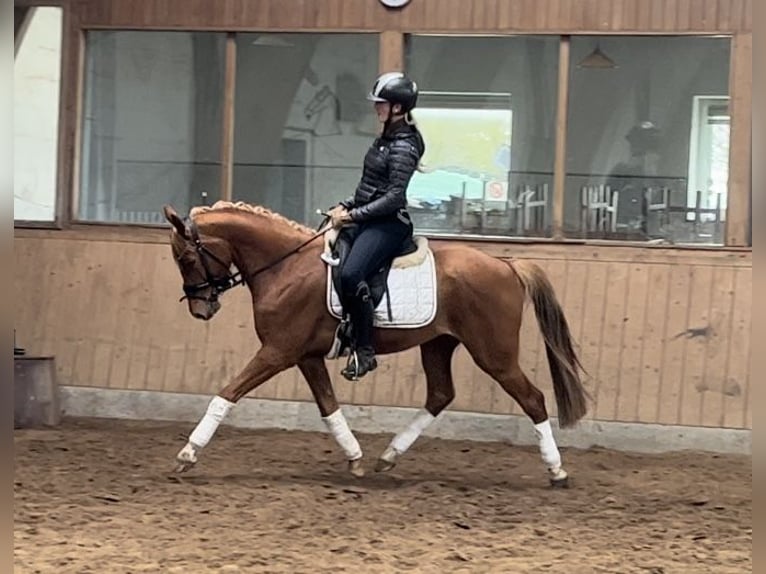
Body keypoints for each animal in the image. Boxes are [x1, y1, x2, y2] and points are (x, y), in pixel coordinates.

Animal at [164, 200, 592, 488]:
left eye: (187, 258)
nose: (201, 309)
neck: (285, 266)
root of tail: (506, 265)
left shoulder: (278, 351)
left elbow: (226, 394)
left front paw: (187, 455)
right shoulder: (305, 356)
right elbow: (329, 408)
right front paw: (355, 458)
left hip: (494, 353)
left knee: (533, 399)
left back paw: (557, 471)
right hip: (438, 343)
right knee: (440, 394)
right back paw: (388, 456)